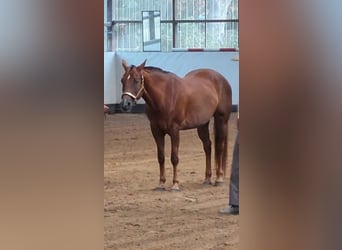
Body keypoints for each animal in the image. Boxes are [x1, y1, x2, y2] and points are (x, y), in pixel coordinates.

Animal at [120, 59, 232, 190]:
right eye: (122, 80)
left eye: (136, 80)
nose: (125, 104)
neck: (165, 96)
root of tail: (222, 79)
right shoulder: (156, 131)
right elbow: (161, 157)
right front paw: (161, 184)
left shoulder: (174, 130)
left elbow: (174, 157)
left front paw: (175, 184)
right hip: (202, 124)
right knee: (208, 146)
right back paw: (207, 178)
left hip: (221, 119)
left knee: (219, 147)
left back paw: (219, 178)